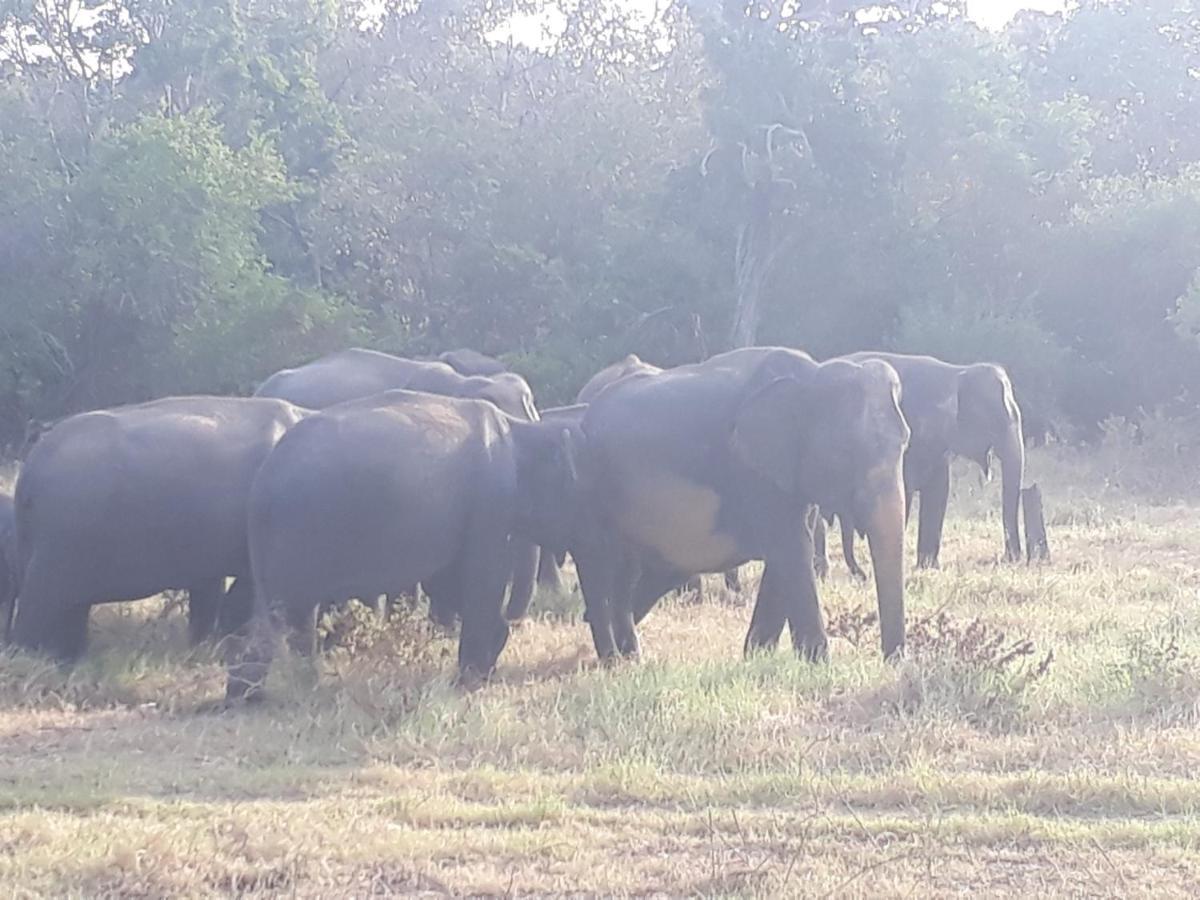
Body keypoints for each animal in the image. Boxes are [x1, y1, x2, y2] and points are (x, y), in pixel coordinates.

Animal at [226, 388, 583, 696]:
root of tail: (262, 482)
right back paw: (255, 696)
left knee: (290, 613)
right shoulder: (490, 502)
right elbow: (480, 580)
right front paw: (470, 679)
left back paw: (293, 685)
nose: (513, 622)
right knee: (281, 612)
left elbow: (451, 582)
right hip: (297, 534)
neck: (518, 432)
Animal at [566, 345, 902, 662]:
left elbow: (789, 552)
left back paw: (626, 655)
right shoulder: (754, 471)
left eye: (905, 444)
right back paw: (613, 658)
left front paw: (757, 655)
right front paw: (815, 663)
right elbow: (792, 550)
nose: (893, 661)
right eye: (844, 453)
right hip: (590, 490)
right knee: (606, 569)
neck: (812, 374)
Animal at [825, 352, 1032, 571]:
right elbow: (906, 489)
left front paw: (928, 567)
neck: (955, 373)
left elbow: (939, 491)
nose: (1009, 558)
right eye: (998, 419)